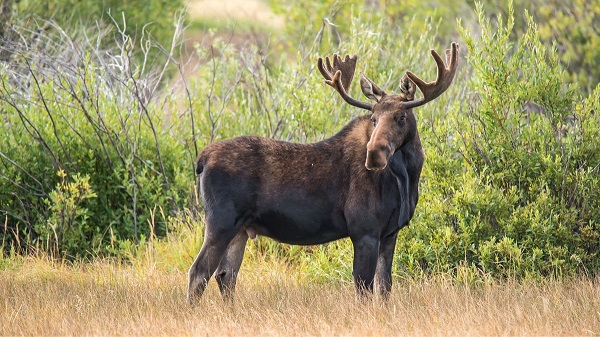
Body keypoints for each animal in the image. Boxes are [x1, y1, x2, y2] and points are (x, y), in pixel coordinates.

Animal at [188, 42, 460, 302]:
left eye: (401, 116)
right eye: (373, 118)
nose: (374, 154)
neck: (406, 178)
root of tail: (202, 159)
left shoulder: (390, 233)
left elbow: (385, 289)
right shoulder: (364, 231)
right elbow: (364, 289)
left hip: (241, 229)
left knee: (225, 274)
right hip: (221, 222)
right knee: (199, 272)